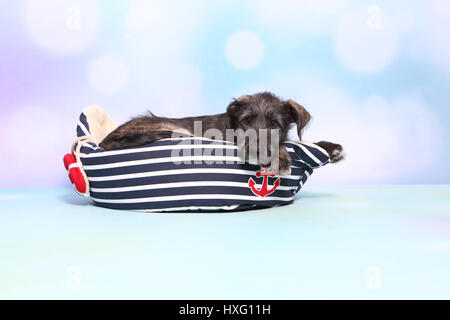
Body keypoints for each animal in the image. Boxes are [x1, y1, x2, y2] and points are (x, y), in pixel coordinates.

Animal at [99, 91, 344, 174]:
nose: (258, 151)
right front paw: (281, 157)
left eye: (275, 123)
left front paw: (331, 147)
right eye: (247, 120)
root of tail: (104, 141)